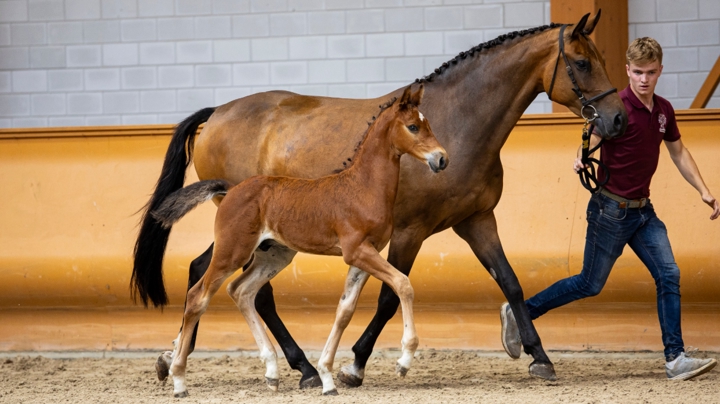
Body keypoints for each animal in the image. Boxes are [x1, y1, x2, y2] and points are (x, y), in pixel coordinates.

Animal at [151, 85, 448, 398]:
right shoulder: (357, 251)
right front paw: (404, 361)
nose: (442, 159)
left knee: (241, 291)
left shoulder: (366, 255)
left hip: (273, 255)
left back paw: (271, 372)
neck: (362, 186)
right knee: (199, 296)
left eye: (428, 124)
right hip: (232, 251)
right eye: (413, 126)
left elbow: (345, 311)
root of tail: (230, 189)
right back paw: (179, 380)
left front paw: (328, 378)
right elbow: (403, 284)